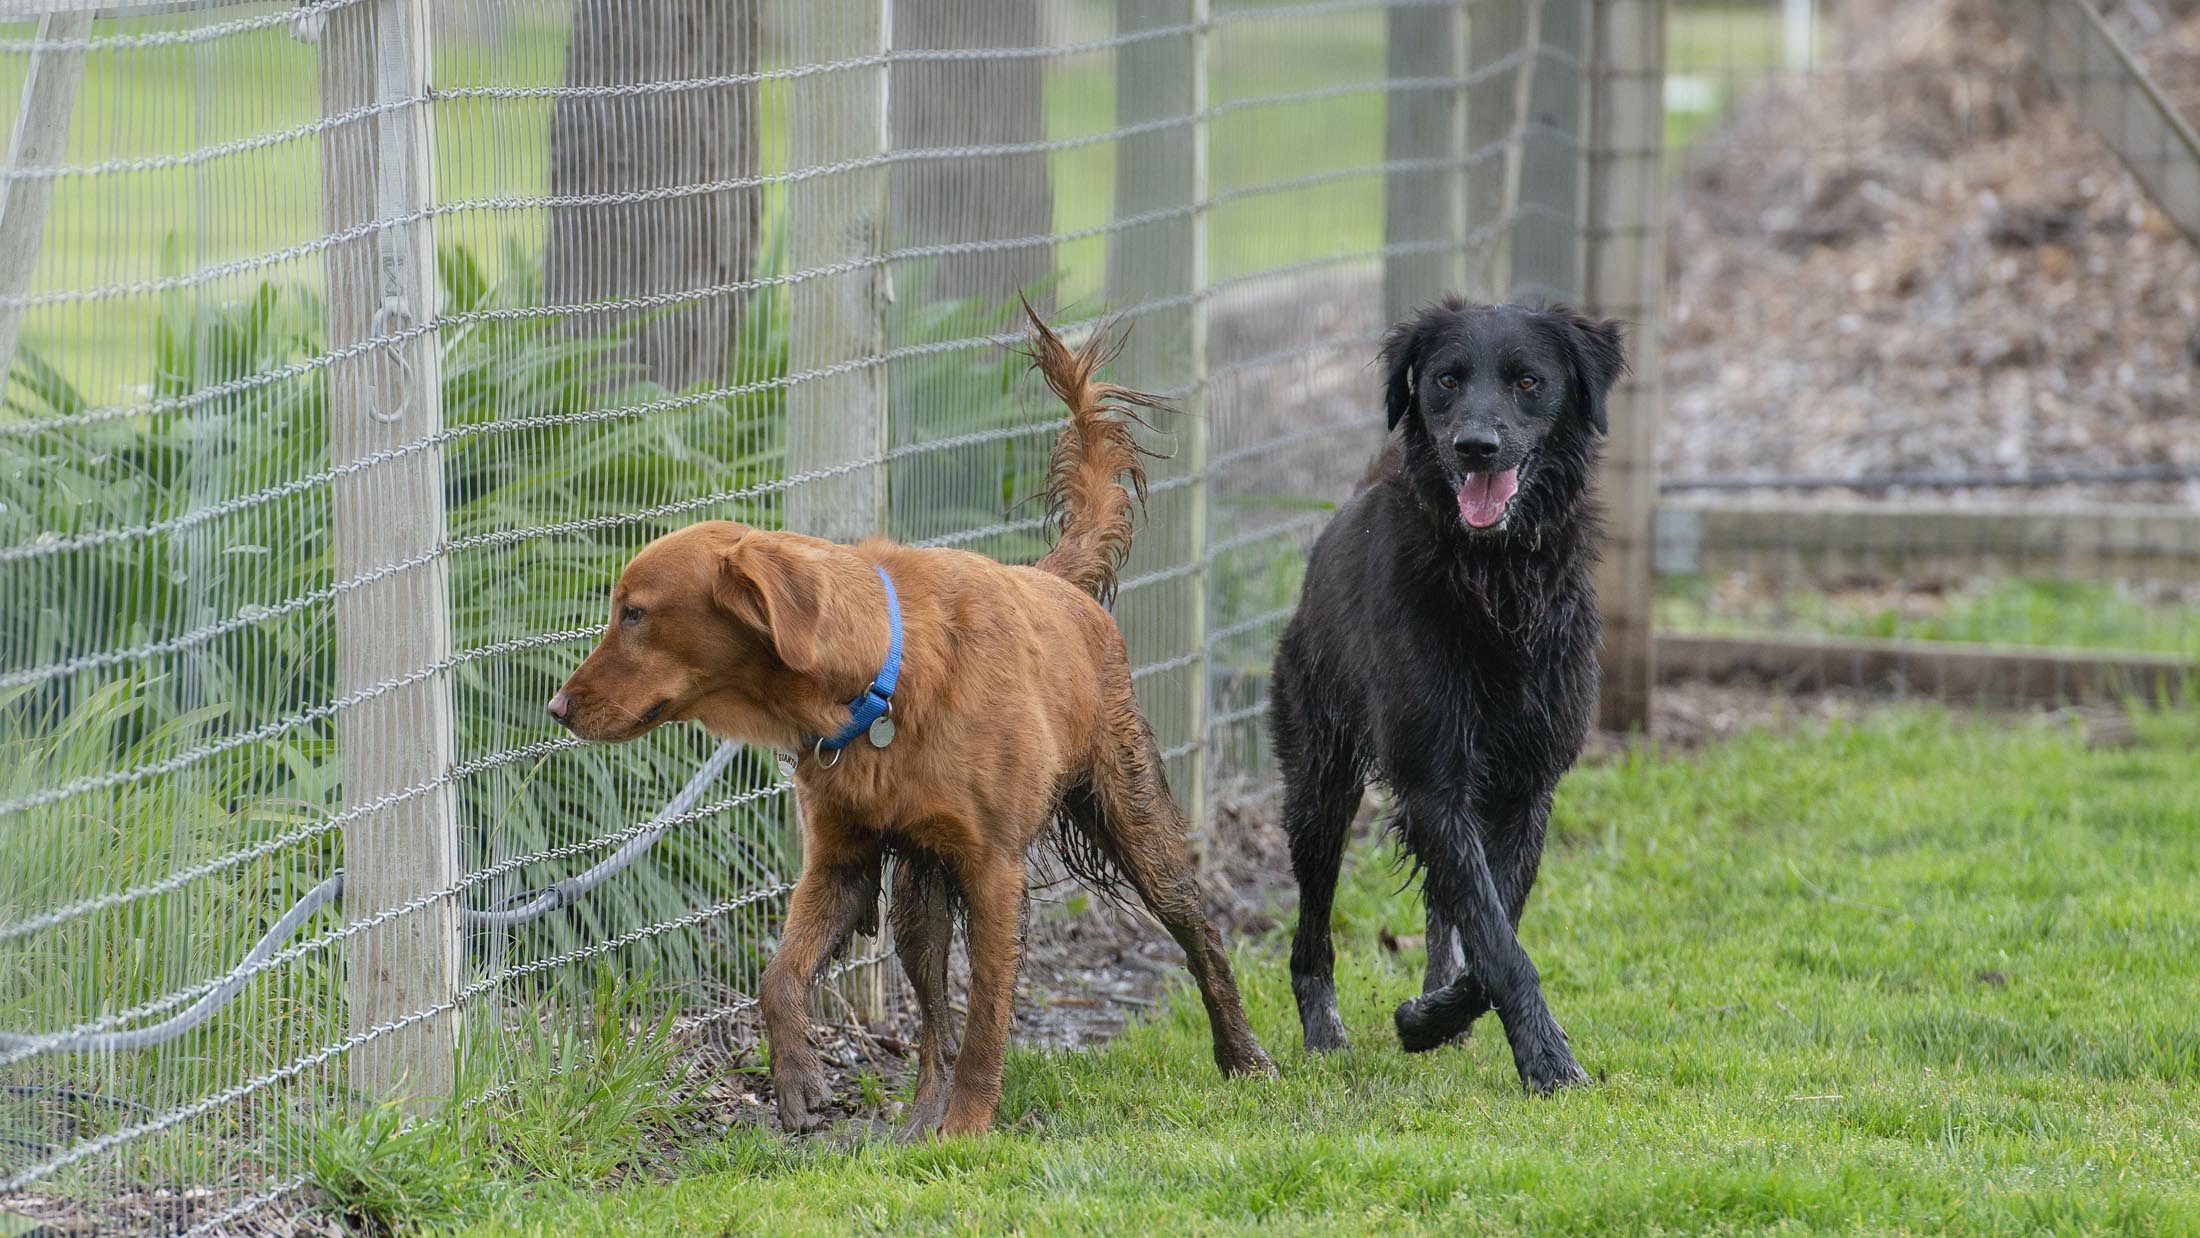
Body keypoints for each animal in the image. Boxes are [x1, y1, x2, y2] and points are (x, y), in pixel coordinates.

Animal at [549, 306, 1274, 1137]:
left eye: (634, 614)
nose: (556, 709)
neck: (876, 689)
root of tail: (1058, 583)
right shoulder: (843, 863)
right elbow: (779, 976)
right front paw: (800, 1080)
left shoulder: (994, 871)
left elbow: (989, 1016)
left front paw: (969, 1126)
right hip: (918, 895)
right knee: (931, 1015)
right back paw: (920, 1116)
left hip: (1133, 818)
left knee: (1201, 933)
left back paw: (1244, 1058)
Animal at [1268, 297, 1625, 1092]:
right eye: (1446, 380)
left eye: (1528, 380)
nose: (1475, 447)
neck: (1497, 580)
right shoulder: (1436, 783)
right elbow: (1499, 942)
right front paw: (1547, 1061)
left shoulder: (1525, 790)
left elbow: (1494, 924)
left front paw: (1432, 1017)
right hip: (1320, 790)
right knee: (1312, 935)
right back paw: (1324, 1034)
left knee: (1444, 907)